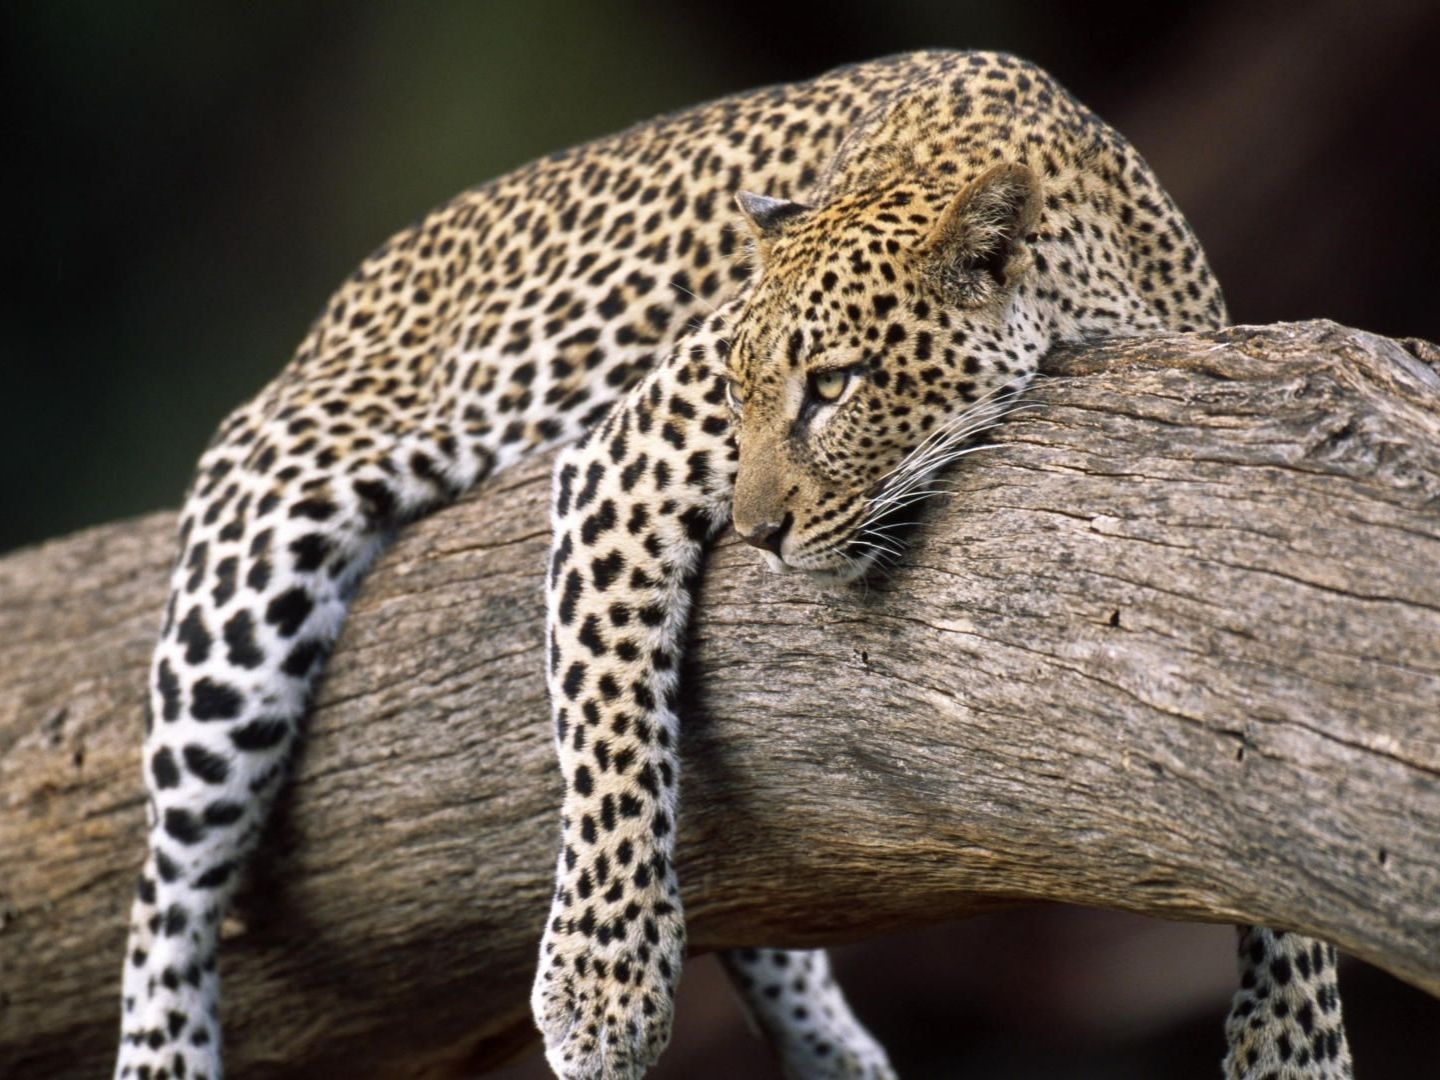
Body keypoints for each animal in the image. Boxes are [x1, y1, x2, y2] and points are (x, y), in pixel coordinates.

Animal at [109, 47, 1351, 1080]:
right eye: (741, 391)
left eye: (835, 386)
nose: (756, 534)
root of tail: (344, 300)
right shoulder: (624, 455)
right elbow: (612, 717)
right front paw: (602, 987)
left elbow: (1265, 786)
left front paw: (1294, 1040)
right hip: (254, 571)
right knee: (168, 884)